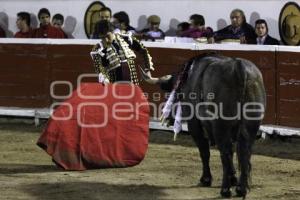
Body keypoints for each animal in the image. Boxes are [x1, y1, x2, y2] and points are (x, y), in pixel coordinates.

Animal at [143, 54, 264, 198]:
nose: (167, 119)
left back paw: (225, 190)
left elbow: (204, 151)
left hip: (220, 125)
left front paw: (206, 179)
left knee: (225, 152)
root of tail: (240, 68)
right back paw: (241, 189)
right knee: (245, 151)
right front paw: (233, 178)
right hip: (252, 125)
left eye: (173, 91)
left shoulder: (194, 123)